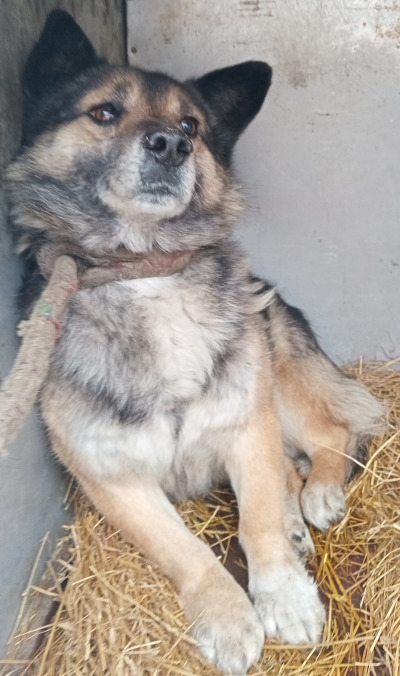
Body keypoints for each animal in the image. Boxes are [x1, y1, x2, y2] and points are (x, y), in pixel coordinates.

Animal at [6, 10, 383, 674]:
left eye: (191, 126)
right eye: (105, 112)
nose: (171, 145)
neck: (144, 270)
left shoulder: (246, 424)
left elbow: (257, 521)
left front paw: (284, 597)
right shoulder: (114, 479)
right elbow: (188, 553)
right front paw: (229, 618)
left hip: (279, 388)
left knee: (331, 435)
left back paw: (319, 495)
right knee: (291, 468)